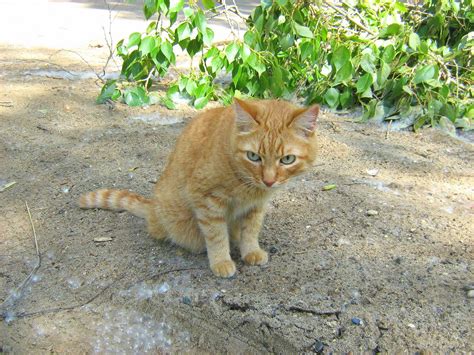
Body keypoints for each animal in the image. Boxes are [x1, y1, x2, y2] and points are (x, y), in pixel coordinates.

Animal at [79, 99, 320, 278]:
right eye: (254, 156)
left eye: (287, 159)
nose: (269, 181)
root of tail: (153, 208)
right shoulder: (207, 200)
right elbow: (216, 235)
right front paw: (222, 261)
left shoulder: (256, 206)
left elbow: (251, 231)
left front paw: (250, 251)